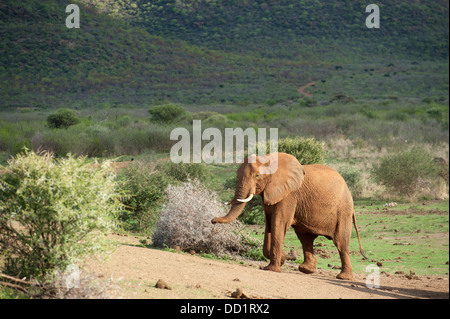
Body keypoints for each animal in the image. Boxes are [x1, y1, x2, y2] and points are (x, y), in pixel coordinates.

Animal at [211, 152, 366, 280]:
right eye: (237, 175)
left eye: (257, 176)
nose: (212, 221)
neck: (270, 159)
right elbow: (269, 224)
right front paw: (282, 258)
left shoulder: (290, 194)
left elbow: (278, 223)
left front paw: (272, 268)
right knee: (305, 238)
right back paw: (306, 270)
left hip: (343, 210)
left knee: (340, 242)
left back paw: (343, 277)